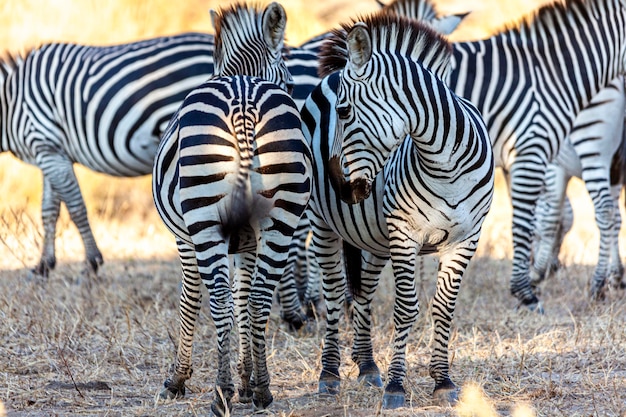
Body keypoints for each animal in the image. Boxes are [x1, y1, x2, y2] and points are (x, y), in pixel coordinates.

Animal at [154, 4, 310, 416]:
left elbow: (191, 299)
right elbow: (245, 300)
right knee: (257, 298)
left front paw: (177, 379)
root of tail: (243, 101)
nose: (292, 91)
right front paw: (246, 380)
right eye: (291, 86)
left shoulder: (184, 238)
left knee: (220, 299)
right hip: (280, 218)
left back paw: (220, 393)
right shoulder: (248, 241)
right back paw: (263, 391)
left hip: (203, 220)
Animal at [300, 12, 494, 406]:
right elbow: (405, 309)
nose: (341, 188)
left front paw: (443, 381)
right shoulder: (405, 234)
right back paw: (329, 375)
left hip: (373, 237)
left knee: (363, 294)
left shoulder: (467, 238)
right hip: (324, 225)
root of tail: (330, 75)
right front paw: (396, 386)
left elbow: (444, 308)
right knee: (333, 295)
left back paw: (367, 366)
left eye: (345, 111)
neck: (447, 166)